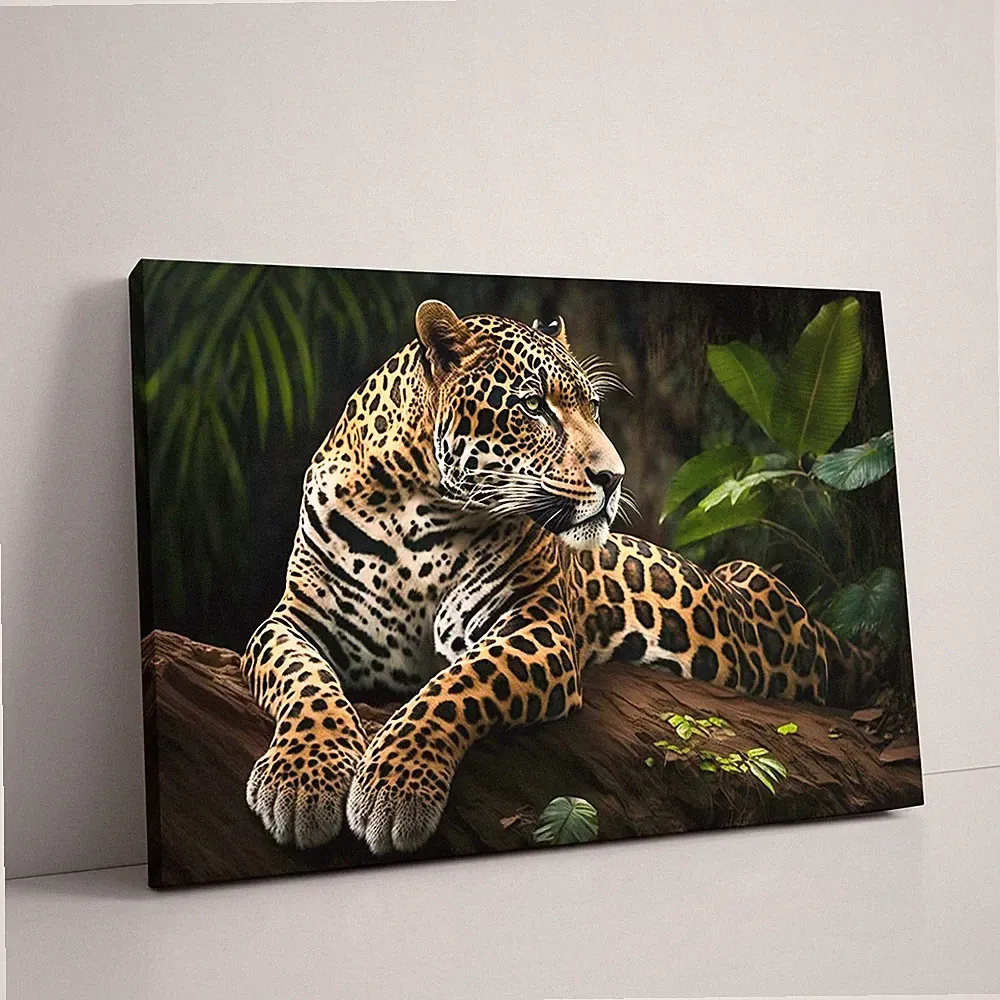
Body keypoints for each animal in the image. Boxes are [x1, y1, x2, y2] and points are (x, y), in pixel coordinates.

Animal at [241, 299, 879, 855]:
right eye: (533, 407)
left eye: (592, 409)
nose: (614, 477)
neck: (418, 510)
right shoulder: (291, 621)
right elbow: (306, 686)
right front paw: (303, 781)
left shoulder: (536, 627)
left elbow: (453, 687)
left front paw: (395, 785)